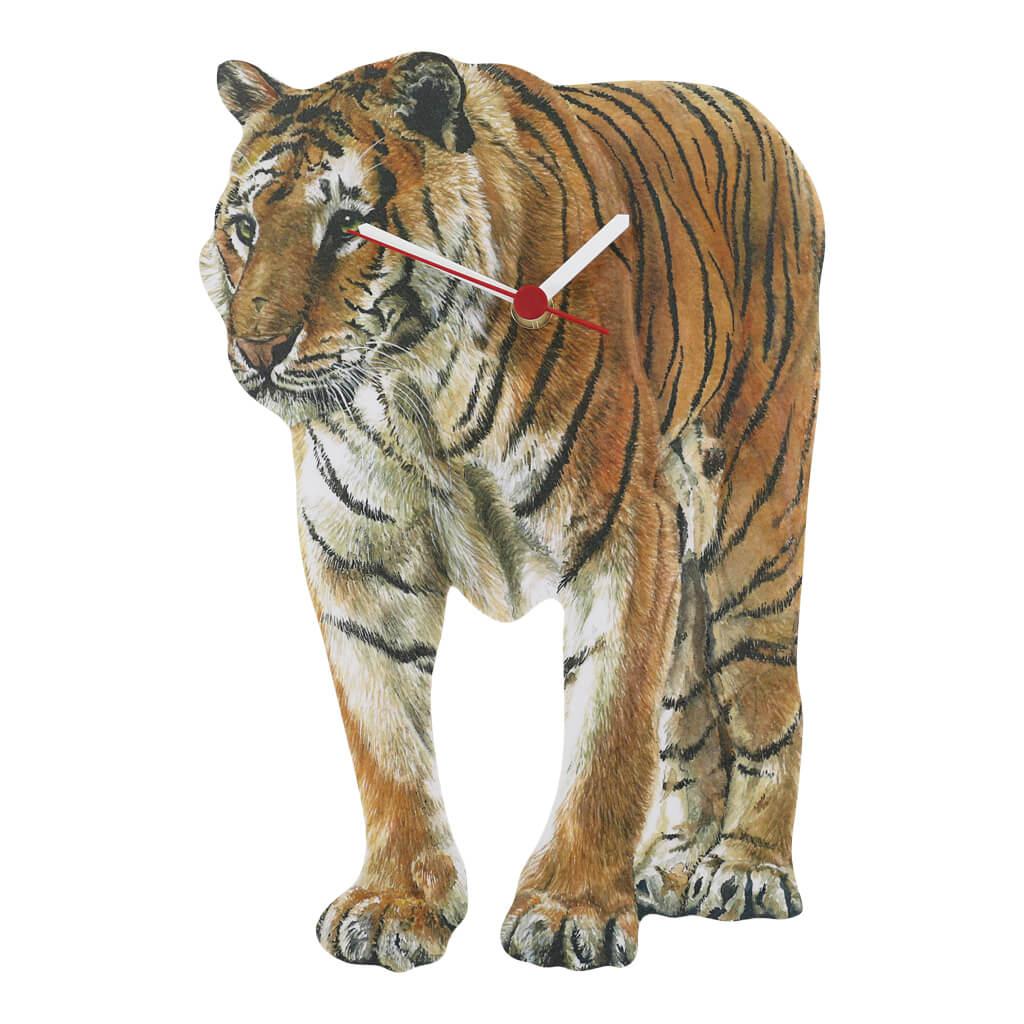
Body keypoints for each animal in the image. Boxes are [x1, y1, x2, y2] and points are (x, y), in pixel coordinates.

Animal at [200, 51, 823, 971]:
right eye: (244, 227)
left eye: (348, 227)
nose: (255, 350)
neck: (414, 389)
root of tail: (764, 123)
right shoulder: (358, 560)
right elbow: (387, 746)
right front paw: (394, 905)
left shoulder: (624, 534)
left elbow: (607, 739)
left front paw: (570, 913)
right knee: (688, 710)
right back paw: (673, 867)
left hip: (752, 520)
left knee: (767, 699)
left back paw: (746, 869)